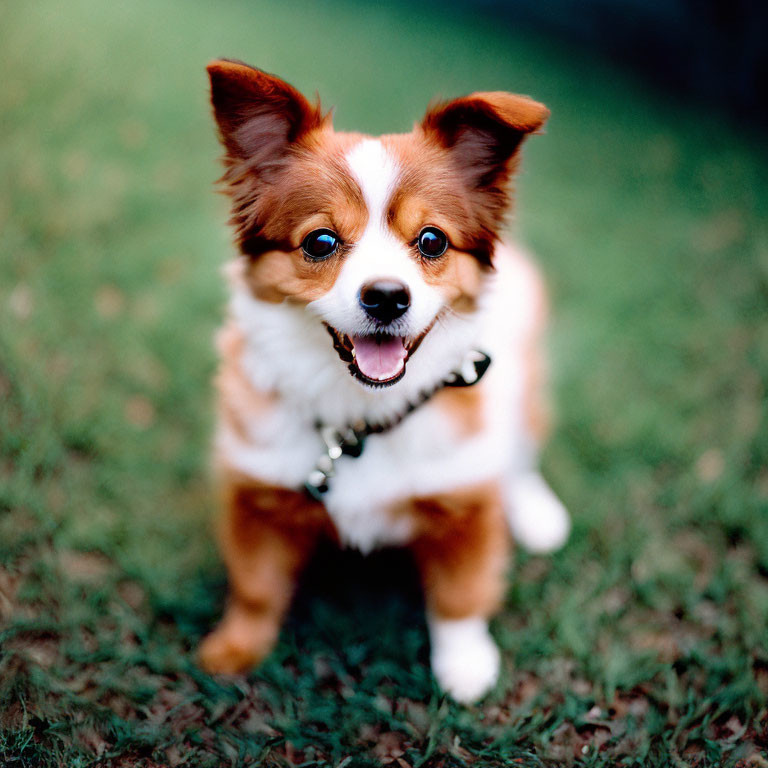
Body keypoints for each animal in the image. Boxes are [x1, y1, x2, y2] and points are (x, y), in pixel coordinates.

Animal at [198, 63, 568, 704]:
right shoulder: (256, 496)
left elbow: (460, 596)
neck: (359, 420)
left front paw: (465, 666)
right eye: (320, 242)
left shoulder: (466, 503)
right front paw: (236, 648)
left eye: (432, 240)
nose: (388, 297)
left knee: (520, 451)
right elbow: (256, 587)